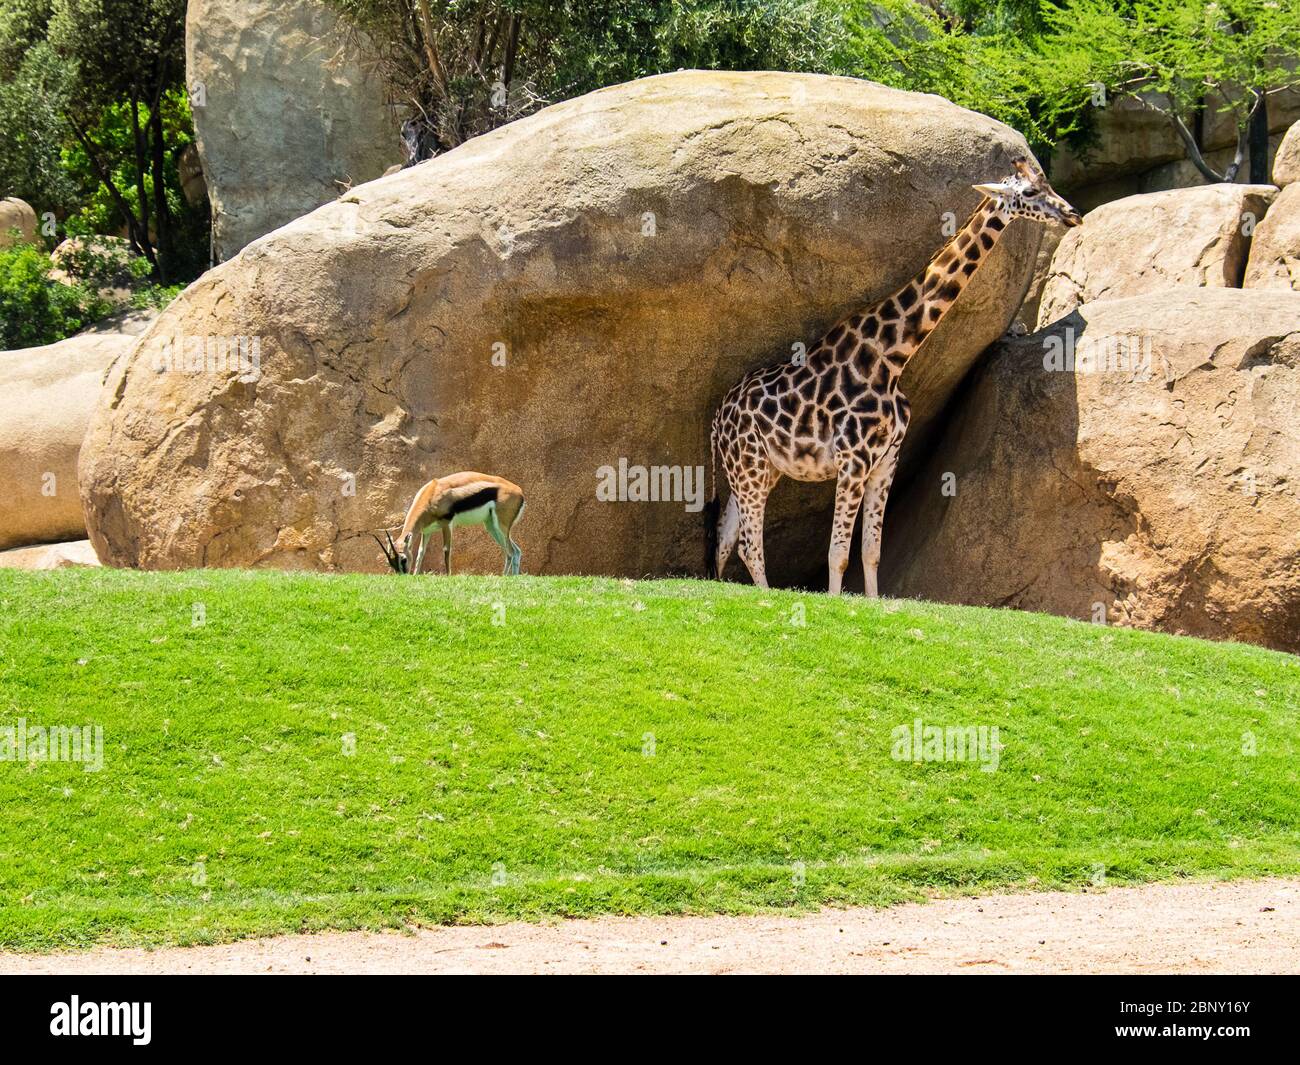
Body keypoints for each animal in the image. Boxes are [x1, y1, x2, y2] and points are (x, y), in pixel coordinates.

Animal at [374, 473, 525, 574]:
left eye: (403, 559)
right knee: (515, 551)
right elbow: (421, 552)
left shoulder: (447, 524)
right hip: (491, 526)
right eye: (390, 562)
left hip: (501, 526)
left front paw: (448, 576)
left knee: (511, 552)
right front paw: (416, 575)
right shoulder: (427, 531)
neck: (431, 494)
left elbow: (446, 550)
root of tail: (520, 492)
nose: (402, 575)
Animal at [707, 159, 1081, 595]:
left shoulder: (886, 461)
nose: (1073, 214)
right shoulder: (853, 459)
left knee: (725, 537)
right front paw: (834, 604)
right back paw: (764, 597)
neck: (892, 359)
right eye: (1031, 193)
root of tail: (717, 419)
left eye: (1048, 185)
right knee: (748, 543)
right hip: (748, 465)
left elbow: (871, 550)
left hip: (760, 470)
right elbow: (839, 552)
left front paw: (873, 603)